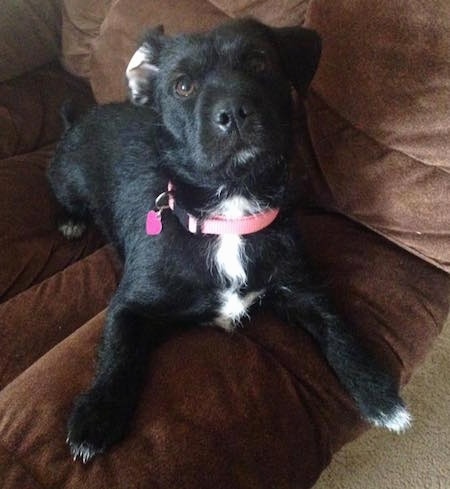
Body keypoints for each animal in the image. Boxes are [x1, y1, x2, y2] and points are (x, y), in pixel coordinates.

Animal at [46, 18, 412, 462]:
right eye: (182, 86)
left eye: (259, 62)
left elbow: (338, 329)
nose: (234, 113)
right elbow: (118, 352)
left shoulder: (304, 290)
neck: (229, 216)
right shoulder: (129, 306)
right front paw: (97, 415)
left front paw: (378, 394)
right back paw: (69, 222)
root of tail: (82, 118)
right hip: (67, 180)